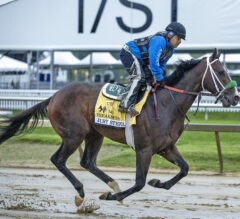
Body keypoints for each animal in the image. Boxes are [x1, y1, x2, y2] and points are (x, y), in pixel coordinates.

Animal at [0, 48, 238, 206]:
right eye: (221, 72)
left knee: (87, 162)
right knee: (58, 159)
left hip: (94, 134)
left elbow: (184, 169)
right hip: (74, 134)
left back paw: (112, 184)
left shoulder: (166, 147)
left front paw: (158, 182)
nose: (235, 97)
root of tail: (55, 95)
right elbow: (140, 183)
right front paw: (115, 196)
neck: (167, 104)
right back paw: (82, 192)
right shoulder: (144, 149)